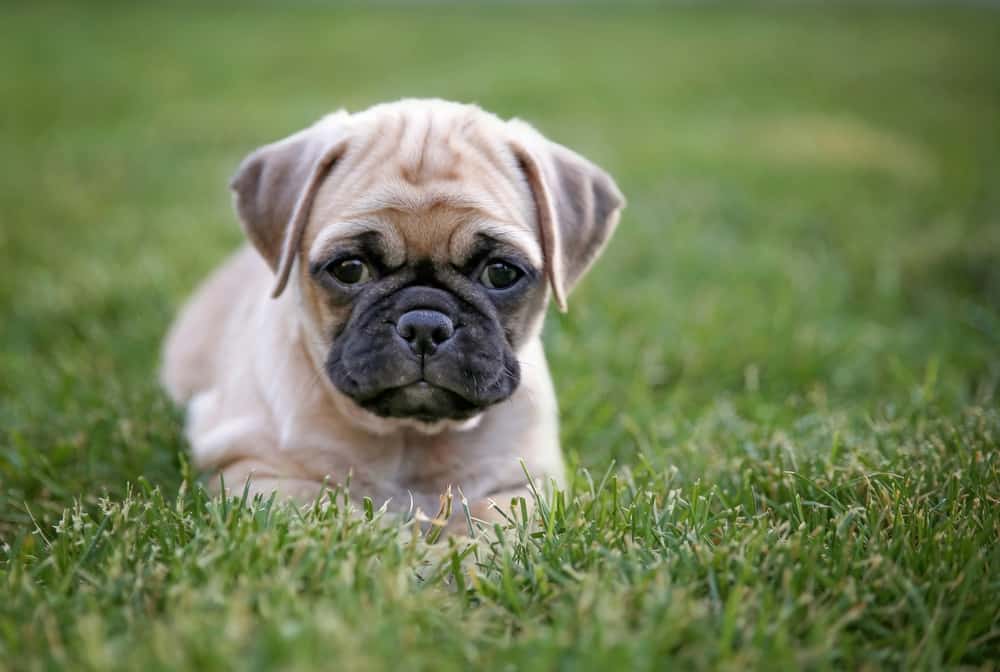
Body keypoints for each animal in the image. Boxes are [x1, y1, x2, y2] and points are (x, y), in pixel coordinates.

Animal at [160, 100, 620, 532]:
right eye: (349, 269)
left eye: (501, 273)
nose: (424, 325)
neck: (409, 436)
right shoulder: (259, 473)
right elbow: (336, 515)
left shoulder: (525, 486)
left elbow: (490, 523)